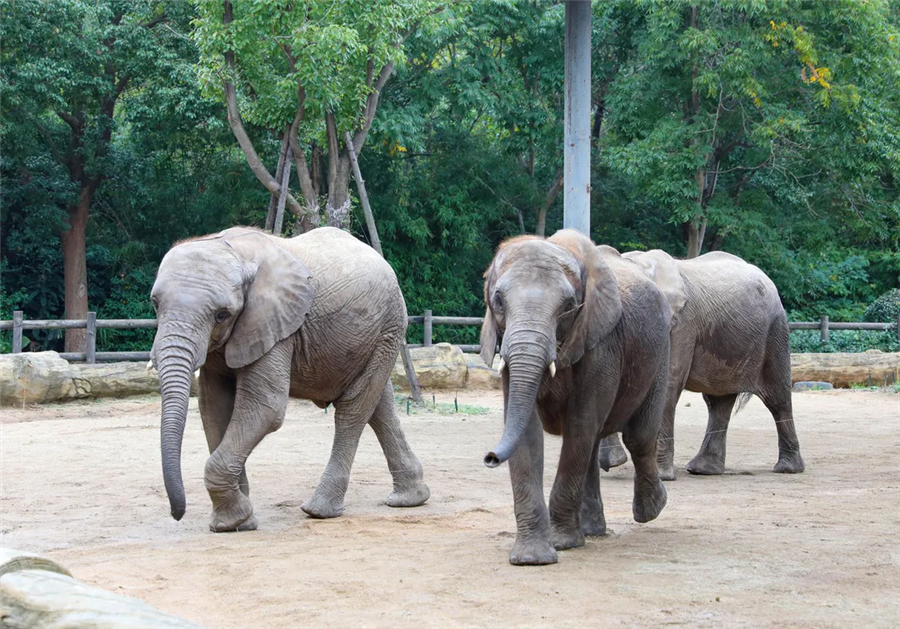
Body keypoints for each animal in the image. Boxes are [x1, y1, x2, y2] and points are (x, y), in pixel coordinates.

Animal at [149, 226, 430, 528]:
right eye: (155, 304)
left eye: (222, 315)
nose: (177, 514)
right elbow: (214, 408)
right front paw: (238, 522)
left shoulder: (276, 326)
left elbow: (266, 407)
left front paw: (233, 522)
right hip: (376, 334)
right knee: (380, 406)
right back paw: (410, 499)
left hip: (389, 326)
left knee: (353, 409)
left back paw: (318, 510)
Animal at [482, 229, 672, 564]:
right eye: (498, 300)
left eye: (569, 305)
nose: (490, 457)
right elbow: (527, 432)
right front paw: (532, 558)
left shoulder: (602, 343)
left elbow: (580, 424)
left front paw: (562, 543)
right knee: (595, 441)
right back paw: (593, 530)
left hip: (661, 352)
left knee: (637, 436)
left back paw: (651, 510)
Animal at [600, 248, 804, 478]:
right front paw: (614, 462)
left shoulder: (681, 325)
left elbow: (668, 384)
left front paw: (661, 476)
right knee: (718, 402)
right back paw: (703, 470)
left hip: (775, 331)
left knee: (777, 398)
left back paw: (787, 469)